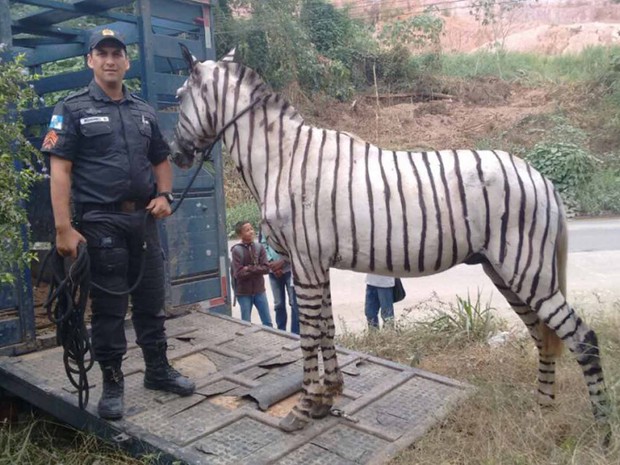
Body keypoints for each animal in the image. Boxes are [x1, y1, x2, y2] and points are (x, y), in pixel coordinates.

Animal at [172, 49, 608, 430]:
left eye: (177, 99)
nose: (176, 157)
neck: (285, 159)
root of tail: (540, 177)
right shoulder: (317, 263)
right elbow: (327, 329)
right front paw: (328, 398)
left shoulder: (305, 261)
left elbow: (309, 333)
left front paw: (304, 407)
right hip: (505, 271)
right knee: (543, 337)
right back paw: (542, 411)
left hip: (526, 270)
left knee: (581, 337)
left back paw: (601, 430)